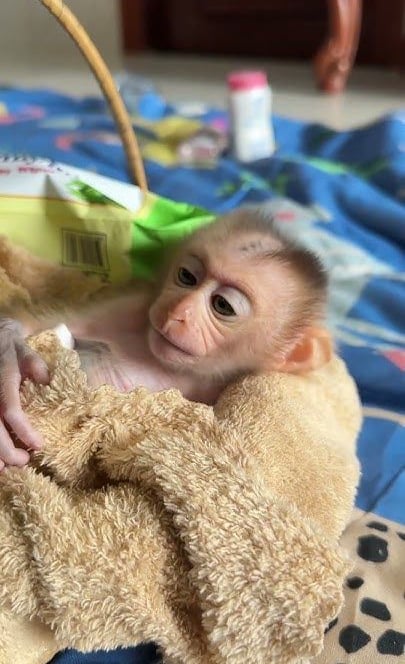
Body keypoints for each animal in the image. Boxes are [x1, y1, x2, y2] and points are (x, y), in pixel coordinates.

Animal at [0, 207, 332, 471]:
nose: (177, 313)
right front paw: (11, 358)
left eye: (223, 305)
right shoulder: (134, 306)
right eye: (187, 277)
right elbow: (40, 325)